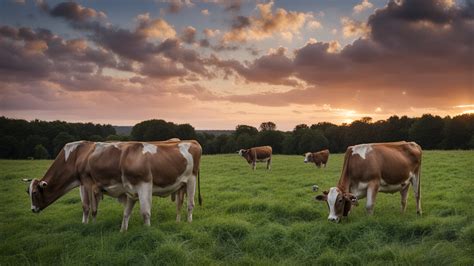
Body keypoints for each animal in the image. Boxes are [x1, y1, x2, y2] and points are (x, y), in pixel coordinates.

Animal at [25, 140, 202, 232]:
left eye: (35, 193)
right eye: (28, 192)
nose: (32, 209)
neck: (75, 156)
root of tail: (192, 141)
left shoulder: (88, 182)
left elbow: (91, 208)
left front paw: (91, 225)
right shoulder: (127, 191)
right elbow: (124, 213)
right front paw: (122, 231)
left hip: (191, 180)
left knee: (190, 204)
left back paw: (189, 222)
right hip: (180, 186)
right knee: (179, 203)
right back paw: (178, 222)